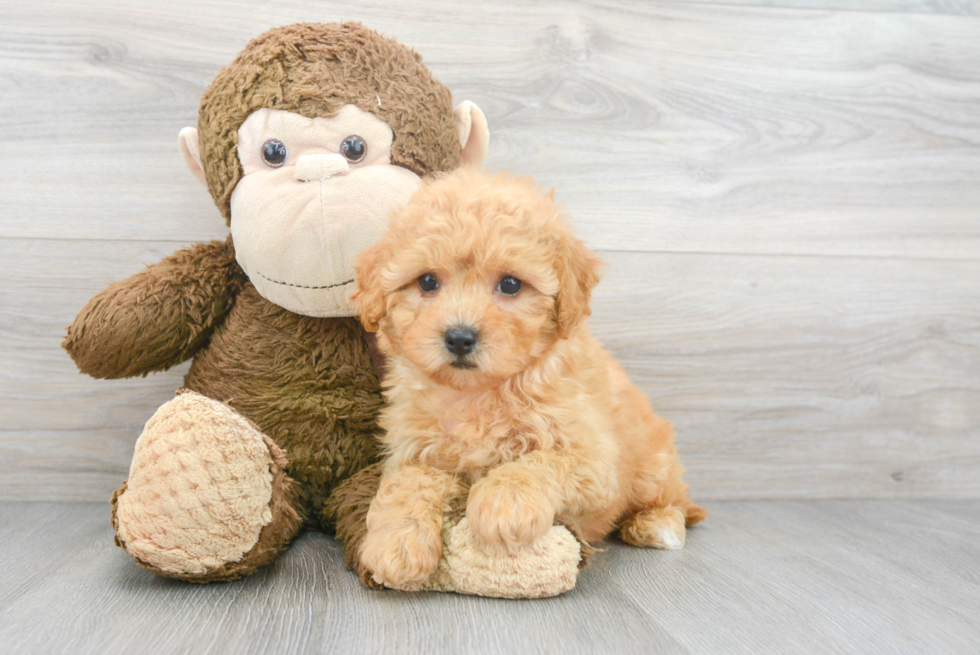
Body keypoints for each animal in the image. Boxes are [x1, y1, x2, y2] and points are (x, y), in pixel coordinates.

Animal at [352, 168, 704, 588]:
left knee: (673, 500)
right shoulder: (412, 449)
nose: (459, 337)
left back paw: (657, 524)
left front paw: (503, 502)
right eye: (426, 282)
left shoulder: (593, 459)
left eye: (510, 284)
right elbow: (406, 484)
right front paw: (395, 545)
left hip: (652, 467)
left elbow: (538, 463)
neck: (476, 394)